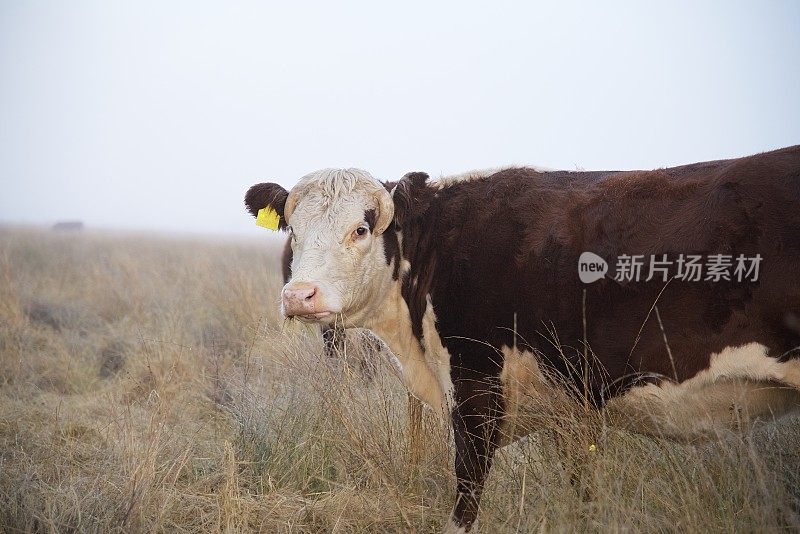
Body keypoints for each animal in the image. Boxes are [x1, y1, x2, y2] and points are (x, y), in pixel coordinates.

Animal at [245, 148, 800, 534]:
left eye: (360, 229)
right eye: (292, 229)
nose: (299, 295)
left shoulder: (475, 389)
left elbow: (466, 500)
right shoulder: (569, 411)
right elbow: (583, 498)